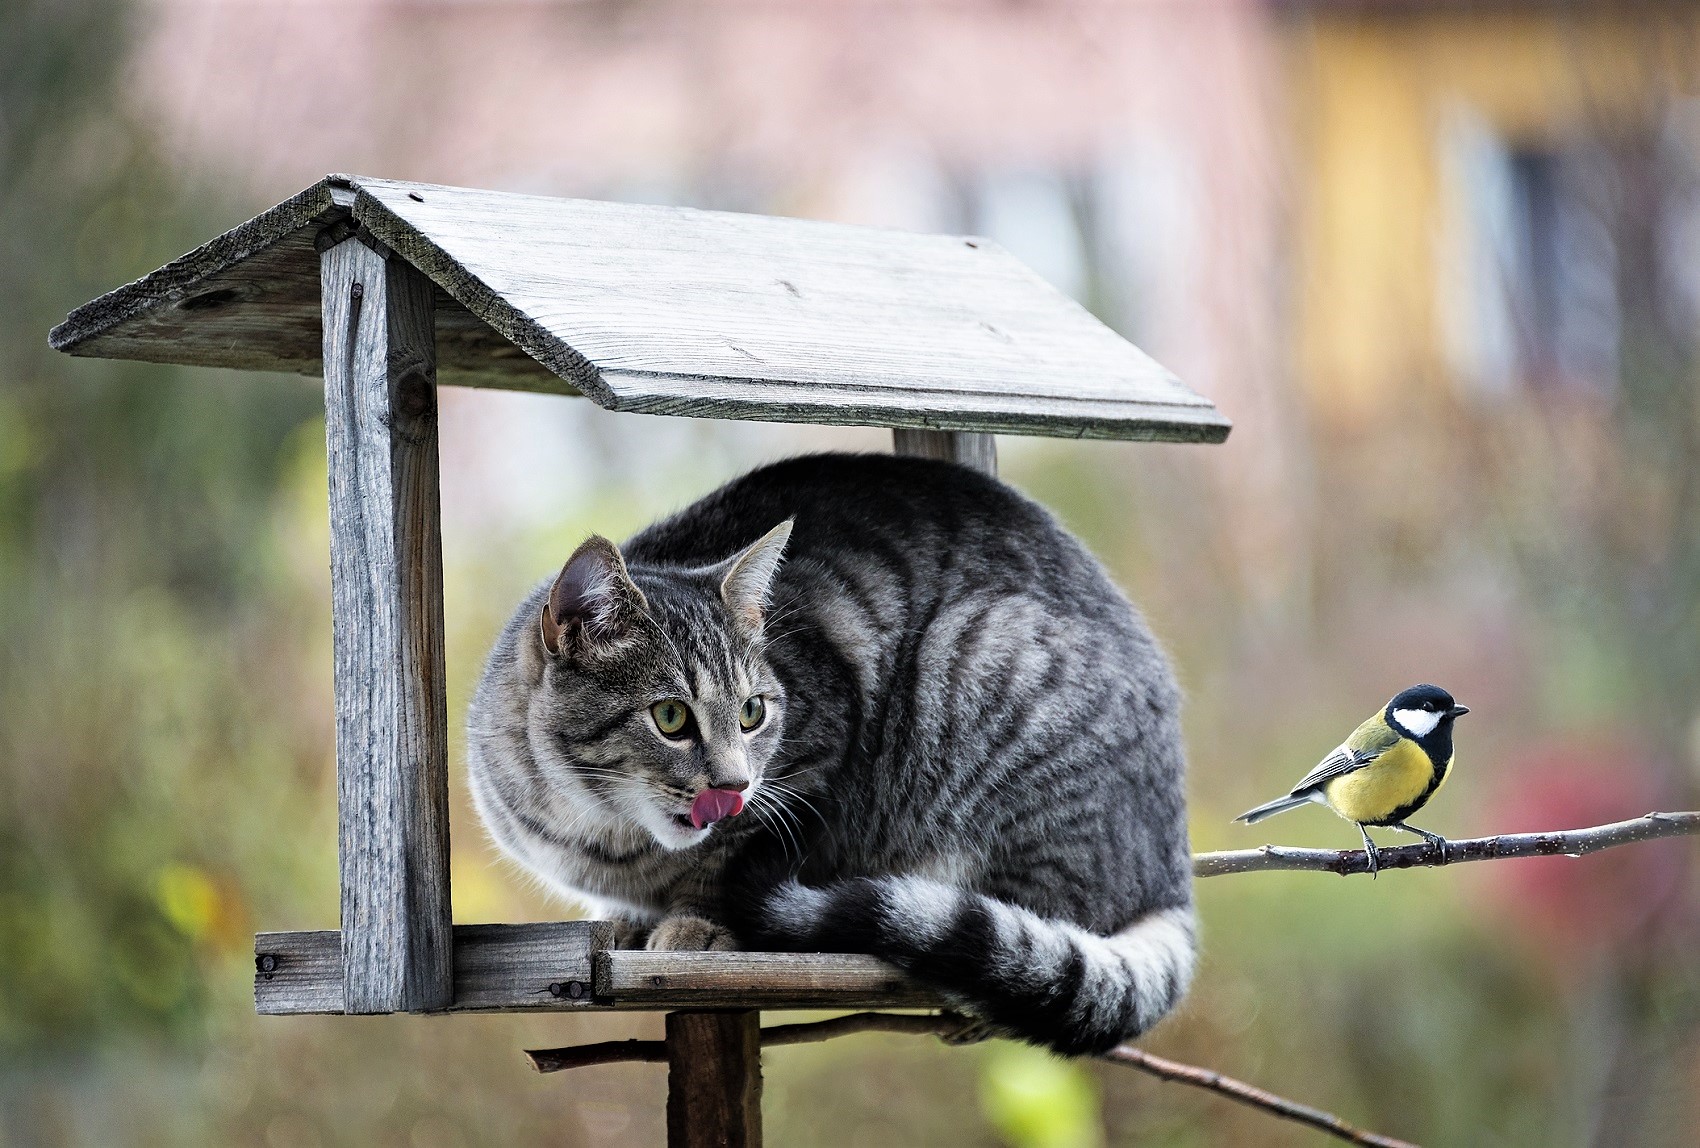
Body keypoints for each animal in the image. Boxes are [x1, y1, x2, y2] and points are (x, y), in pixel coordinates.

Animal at [465, 452, 1196, 1047]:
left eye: (753, 712)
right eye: (670, 717)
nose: (733, 785)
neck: (602, 833)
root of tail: (1173, 866)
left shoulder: (812, 757)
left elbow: (726, 860)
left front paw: (695, 922)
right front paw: (621, 922)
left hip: (980, 662)